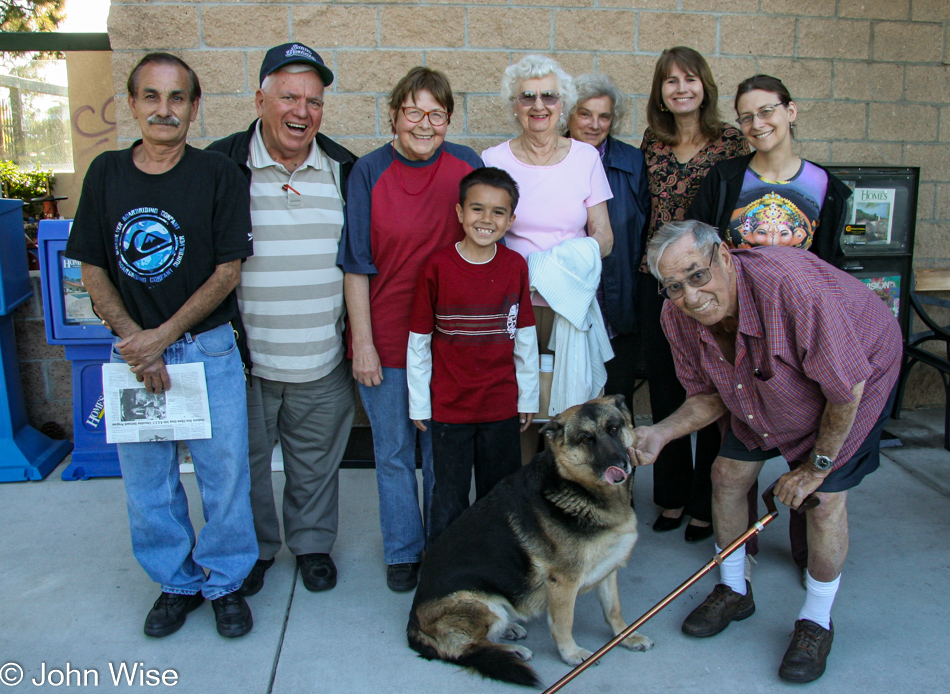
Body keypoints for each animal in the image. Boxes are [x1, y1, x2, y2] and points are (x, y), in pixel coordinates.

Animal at [410, 394, 656, 688]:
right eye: (586, 439)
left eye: (614, 429)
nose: (620, 464)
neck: (579, 488)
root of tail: (413, 620)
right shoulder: (563, 583)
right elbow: (564, 622)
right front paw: (571, 654)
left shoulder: (608, 570)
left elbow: (614, 611)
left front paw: (627, 636)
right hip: (482, 603)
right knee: (462, 647)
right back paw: (512, 650)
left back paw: (511, 631)